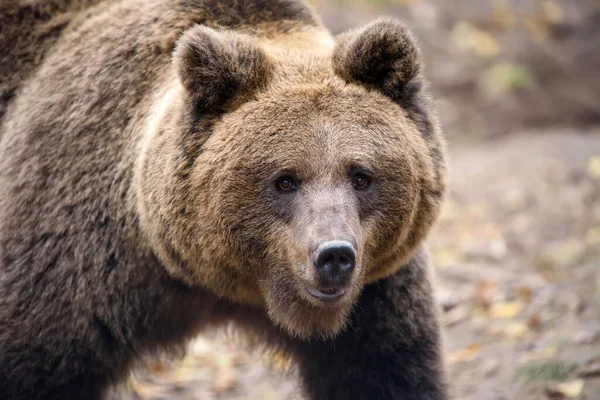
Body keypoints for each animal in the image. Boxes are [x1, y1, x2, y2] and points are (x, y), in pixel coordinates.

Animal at [0, 0, 448, 400]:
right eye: (285, 180)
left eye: (361, 176)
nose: (334, 255)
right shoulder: (76, 269)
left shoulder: (375, 293)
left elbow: (383, 373)